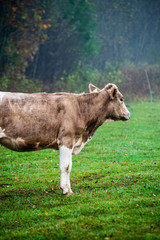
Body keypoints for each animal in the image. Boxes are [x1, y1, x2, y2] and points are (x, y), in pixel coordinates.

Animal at [0, 84, 130, 195]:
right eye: (121, 99)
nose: (129, 114)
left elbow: (69, 166)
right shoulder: (66, 140)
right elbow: (66, 166)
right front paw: (66, 190)